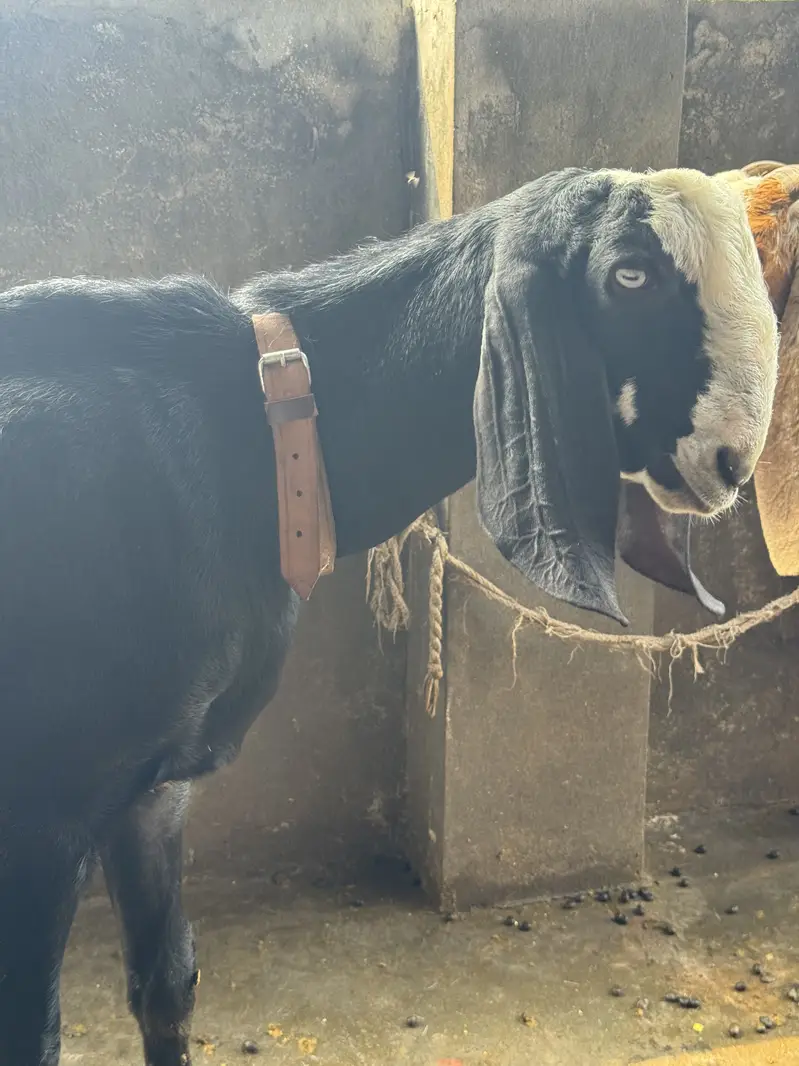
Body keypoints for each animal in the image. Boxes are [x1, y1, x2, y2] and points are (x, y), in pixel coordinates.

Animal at [0, 166, 778, 1066]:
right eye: (629, 274)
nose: (731, 460)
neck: (253, 442)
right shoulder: (45, 810)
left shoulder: (153, 788)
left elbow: (167, 987)